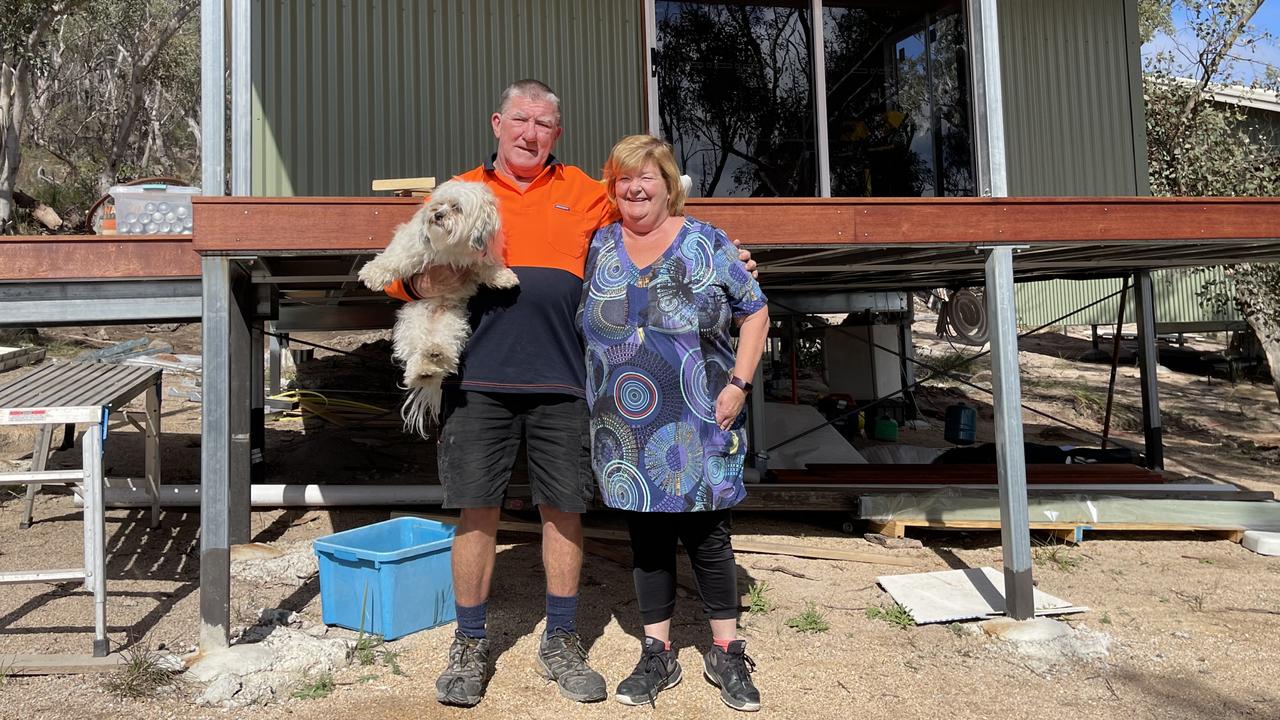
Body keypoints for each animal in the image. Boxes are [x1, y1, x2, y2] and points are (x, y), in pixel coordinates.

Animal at [358, 180, 517, 438]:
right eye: (438, 205)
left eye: (457, 208)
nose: (437, 215)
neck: (451, 248)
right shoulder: (412, 244)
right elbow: (396, 257)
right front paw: (373, 273)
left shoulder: (482, 255)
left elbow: (489, 266)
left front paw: (504, 277)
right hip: (412, 321)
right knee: (413, 354)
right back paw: (422, 369)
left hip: (453, 324)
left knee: (444, 353)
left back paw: (434, 356)